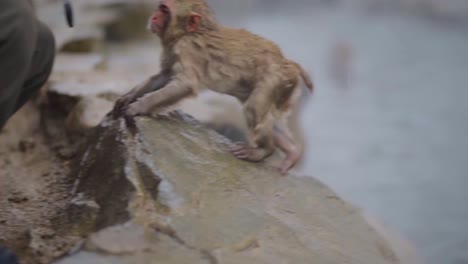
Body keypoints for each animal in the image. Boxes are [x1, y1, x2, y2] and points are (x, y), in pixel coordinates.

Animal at [111, 0, 312, 174]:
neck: (190, 32)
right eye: (159, 7)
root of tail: (289, 64)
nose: (153, 17)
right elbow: (163, 76)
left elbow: (184, 84)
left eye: (164, 10)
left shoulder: (187, 48)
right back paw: (292, 151)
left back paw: (262, 152)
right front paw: (127, 98)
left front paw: (136, 107)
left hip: (274, 79)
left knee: (254, 108)